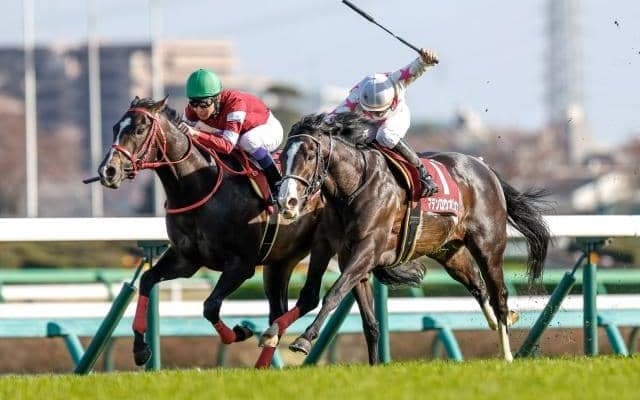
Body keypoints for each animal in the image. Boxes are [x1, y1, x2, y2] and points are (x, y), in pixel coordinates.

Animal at [97, 96, 333, 367]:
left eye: (138, 130)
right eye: (115, 128)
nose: (108, 171)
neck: (198, 186)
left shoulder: (241, 265)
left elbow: (210, 306)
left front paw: (240, 331)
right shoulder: (186, 260)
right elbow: (147, 280)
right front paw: (140, 348)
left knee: (310, 297)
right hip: (280, 262)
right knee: (277, 311)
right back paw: (261, 364)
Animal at [269, 112, 551, 363]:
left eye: (309, 155)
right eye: (284, 155)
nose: (286, 201)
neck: (352, 189)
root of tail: (485, 168)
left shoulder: (367, 249)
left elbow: (334, 293)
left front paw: (304, 340)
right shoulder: (334, 249)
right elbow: (362, 319)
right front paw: (272, 332)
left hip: (488, 246)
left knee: (498, 294)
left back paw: (507, 353)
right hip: (448, 251)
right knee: (477, 285)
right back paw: (500, 320)